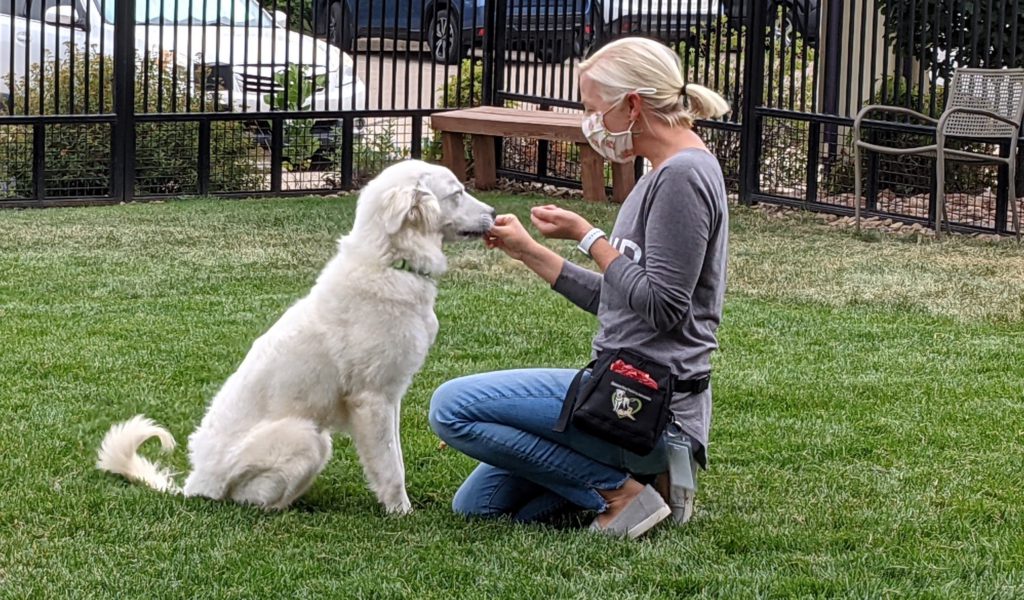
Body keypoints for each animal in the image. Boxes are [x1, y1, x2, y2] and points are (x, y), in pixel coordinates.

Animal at [96, 160, 495, 511]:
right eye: (457, 193)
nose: (494, 213)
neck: (390, 264)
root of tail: (196, 484)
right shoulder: (373, 400)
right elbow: (391, 469)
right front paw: (401, 513)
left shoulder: (391, 397)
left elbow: (394, 456)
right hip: (308, 437)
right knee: (250, 502)